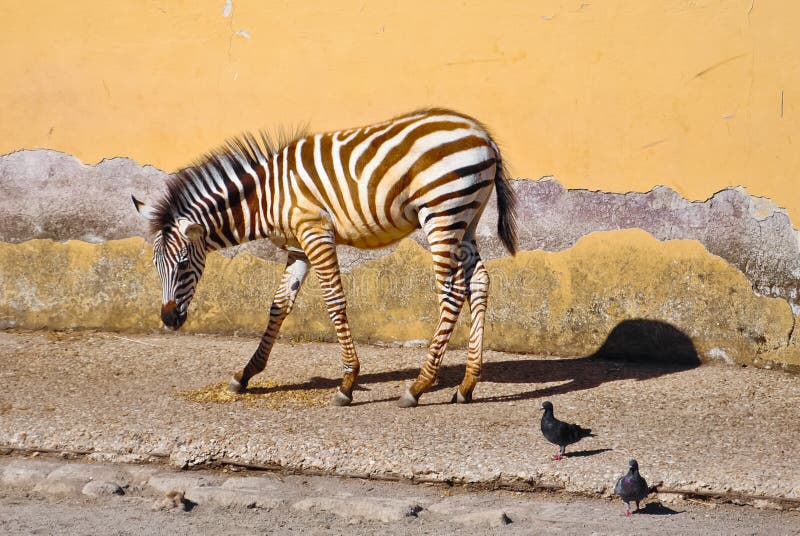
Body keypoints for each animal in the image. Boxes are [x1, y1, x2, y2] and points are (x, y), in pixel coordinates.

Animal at [132, 108, 517, 407]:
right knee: (479, 282)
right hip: (466, 219)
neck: (265, 198)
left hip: (442, 213)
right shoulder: (297, 246)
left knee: (452, 293)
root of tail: (484, 135)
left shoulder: (315, 232)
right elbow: (279, 305)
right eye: (155, 267)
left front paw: (347, 382)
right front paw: (245, 374)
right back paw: (467, 384)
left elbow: (334, 301)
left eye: (184, 264)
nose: (168, 320)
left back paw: (418, 386)